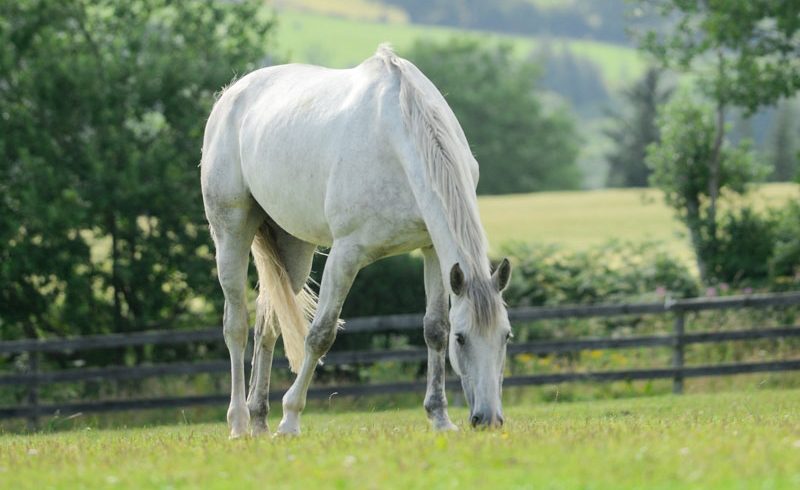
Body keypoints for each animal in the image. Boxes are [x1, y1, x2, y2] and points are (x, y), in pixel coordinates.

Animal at [200, 44, 513, 438]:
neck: (397, 137)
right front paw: (290, 419)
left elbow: (433, 329)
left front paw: (440, 417)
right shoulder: (345, 255)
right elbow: (320, 335)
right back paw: (240, 423)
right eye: (463, 338)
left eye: (506, 336)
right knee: (237, 326)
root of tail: (230, 95)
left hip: (293, 249)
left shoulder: (432, 251)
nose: (488, 419)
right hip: (231, 233)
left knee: (267, 325)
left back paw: (259, 421)